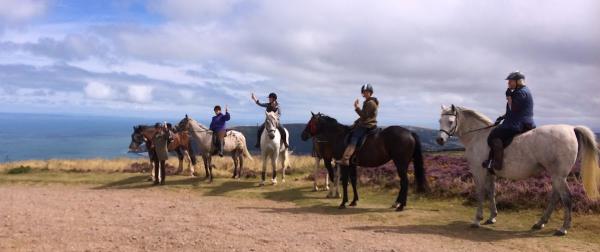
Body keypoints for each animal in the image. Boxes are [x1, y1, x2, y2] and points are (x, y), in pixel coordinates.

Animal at [436, 105, 600, 236]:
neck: (477, 136)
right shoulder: (490, 173)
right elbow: (491, 192)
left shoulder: (479, 171)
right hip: (556, 176)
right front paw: (492, 216)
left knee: (566, 198)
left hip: (559, 176)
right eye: (439, 121)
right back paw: (541, 222)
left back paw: (563, 228)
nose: (440, 140)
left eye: (450, 121)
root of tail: (571, 129)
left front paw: (477, 220)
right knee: (555, 196)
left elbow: (480, 193)